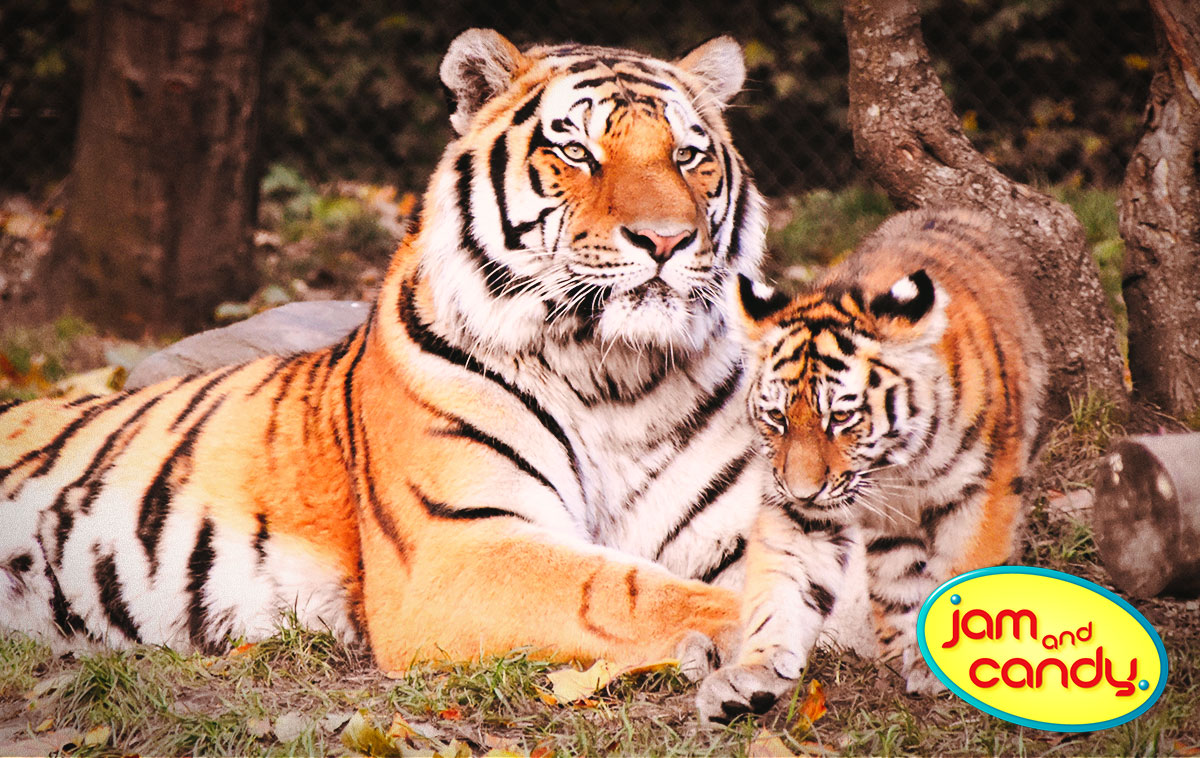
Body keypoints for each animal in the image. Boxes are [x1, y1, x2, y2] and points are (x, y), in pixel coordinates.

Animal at [1, 30, 777, 682]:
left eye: (687, 156)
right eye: (577, 153)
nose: (666, 240)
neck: (617, 376)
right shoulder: (457, 548)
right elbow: (630, 590)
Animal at [696, 208, 1047, 723]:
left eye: (840, 417)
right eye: (778, 417)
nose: (804, 490)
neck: (894, 466)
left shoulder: (981, 491)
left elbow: (967, 572)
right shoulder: (799, 511)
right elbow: (780, 591)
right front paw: (751, 674)